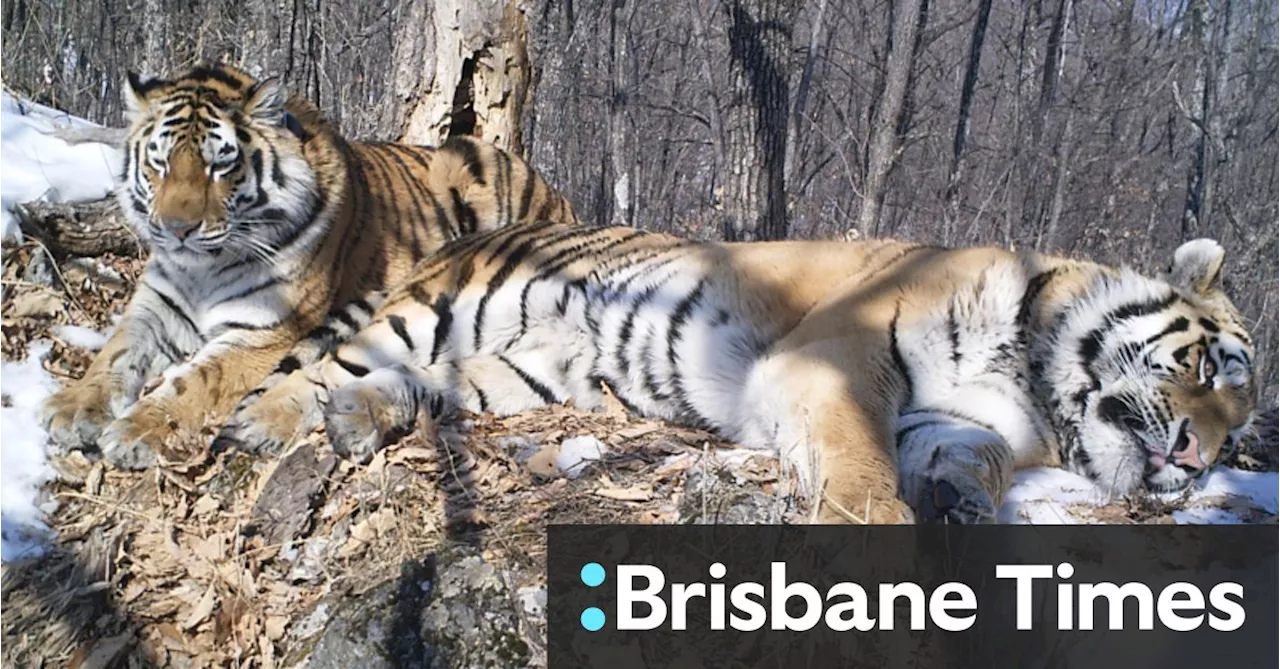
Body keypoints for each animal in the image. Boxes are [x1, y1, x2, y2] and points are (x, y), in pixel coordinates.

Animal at [37, 65, 576, 468]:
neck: (202, 269)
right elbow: (114, 354)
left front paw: (135, 430)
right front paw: (70, 408)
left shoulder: (263, 332)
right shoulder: (156, 306)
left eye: (220, 165)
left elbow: (197, 381)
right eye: (161, 163)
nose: (176, 229)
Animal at [225, 222, 1254, 527]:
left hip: (522, 371)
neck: (1035, 376)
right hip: (446, 305)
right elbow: (862, 466)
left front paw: (961, 503)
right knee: (317, 365)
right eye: (1208, 366)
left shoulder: (963, 418)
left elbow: (973, 458)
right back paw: (259, 425)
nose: (1200, 459)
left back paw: (361, 418)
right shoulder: (841, 358)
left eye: (1243, 427)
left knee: (422, 382)